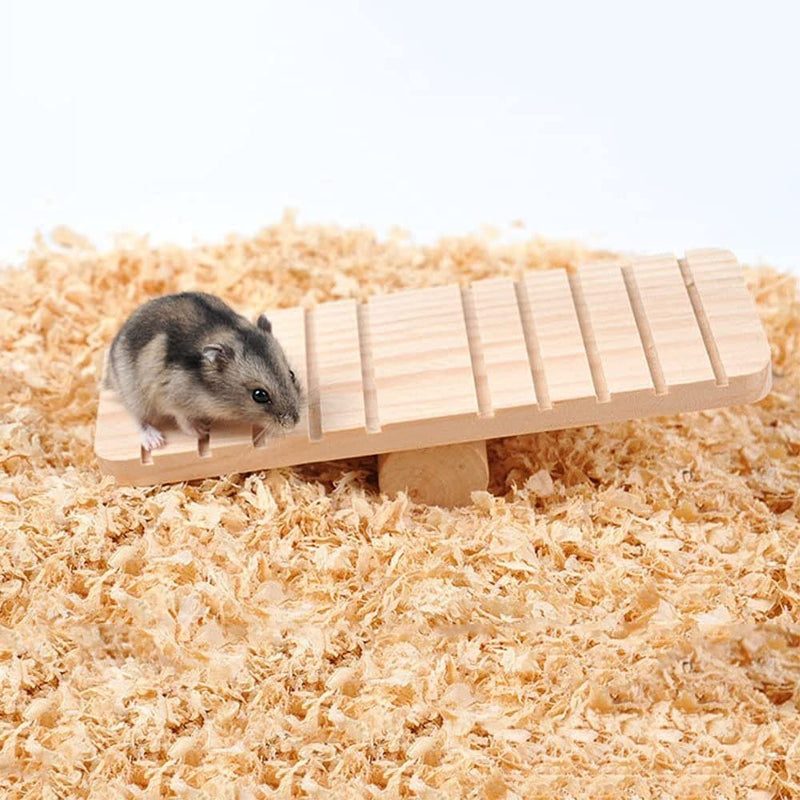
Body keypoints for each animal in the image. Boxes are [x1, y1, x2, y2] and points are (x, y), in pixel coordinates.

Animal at [106, 292, 303, 451]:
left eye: (291, 374)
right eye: (259, 395)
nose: (294, 423)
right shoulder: (172, 399)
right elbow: (183, 419)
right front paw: (203, 431)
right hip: (134, 393)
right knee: (139, 419)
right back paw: (155, 441)